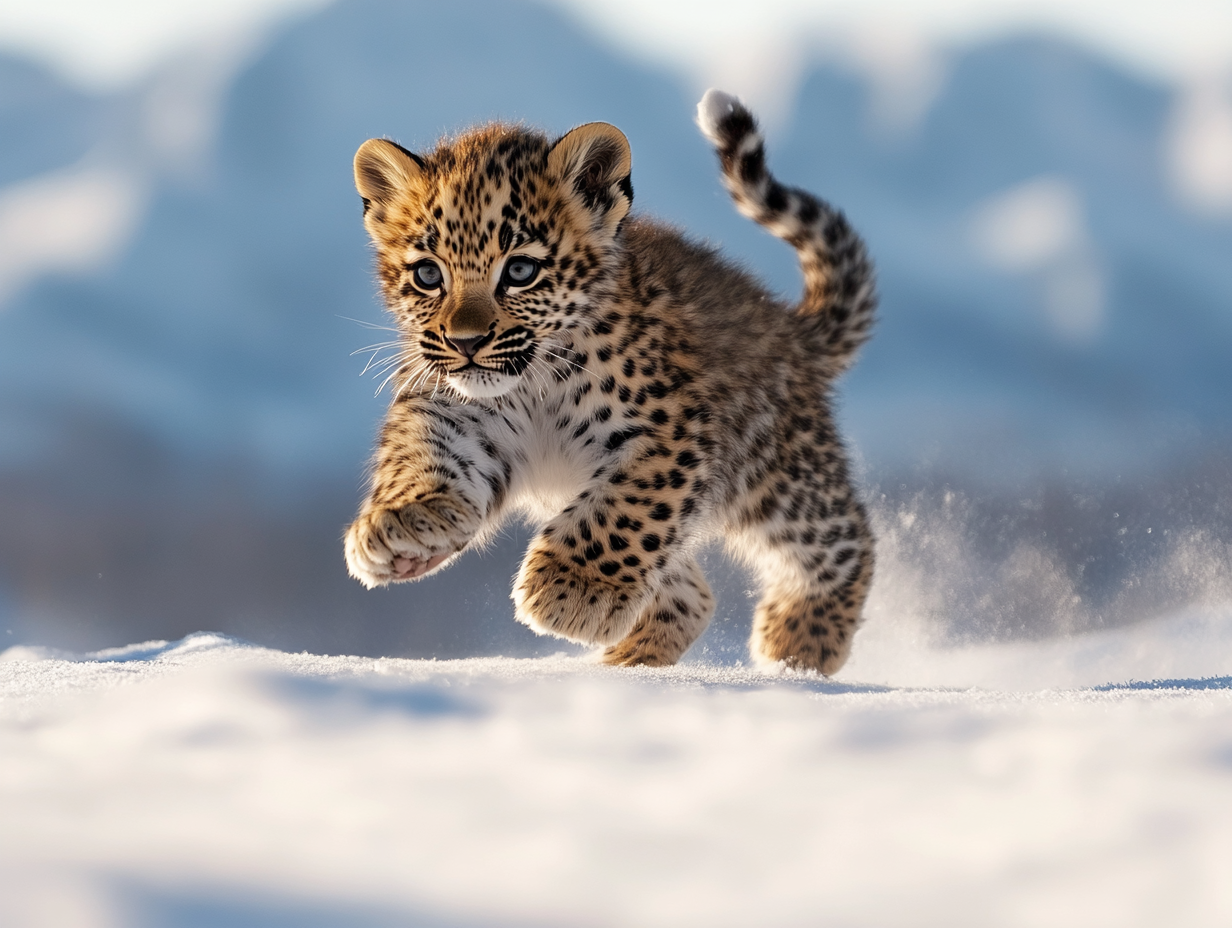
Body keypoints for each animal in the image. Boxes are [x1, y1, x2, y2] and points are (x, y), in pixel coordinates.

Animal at [343, 90, 876, 674]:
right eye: (428, 275)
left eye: (521, 271)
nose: (466, 342)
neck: (533, 384)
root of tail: (789, 325)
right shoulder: (455, 408)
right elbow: (419, 450)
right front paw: (403, 522)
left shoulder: (670, 431)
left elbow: (627, 510)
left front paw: (570, 589)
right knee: (693, 593)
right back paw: (630, 659)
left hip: (775, 479)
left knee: (844, 540)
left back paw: (798, 645)